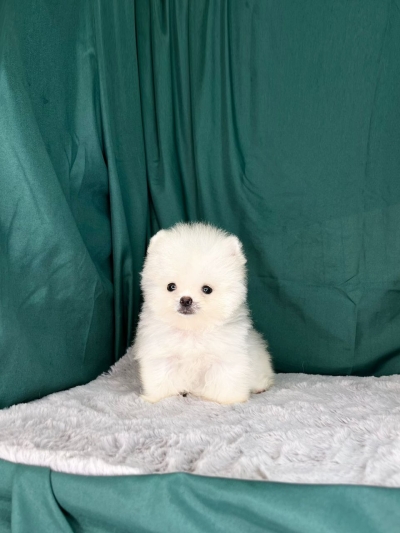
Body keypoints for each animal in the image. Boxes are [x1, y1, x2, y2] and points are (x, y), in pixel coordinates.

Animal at [133, 221, 274, 404]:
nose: (186, 300)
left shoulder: (224, 360)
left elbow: (225, 382)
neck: (192, 330)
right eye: (171, 286)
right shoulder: (162, 356)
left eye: (207, 289)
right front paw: (157, 398)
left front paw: (228, 401)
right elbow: (161, 379)